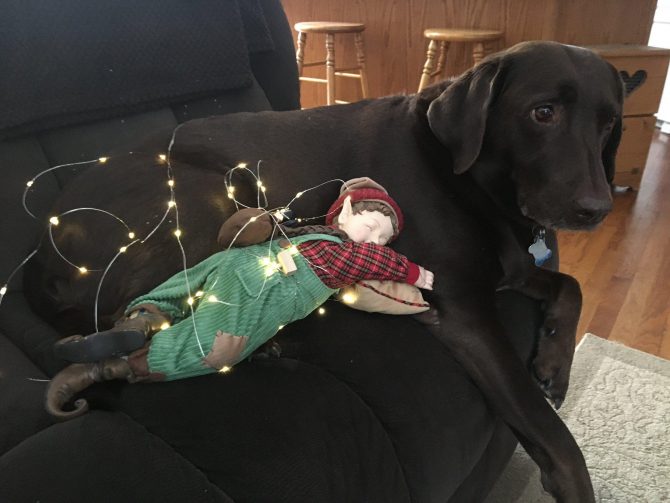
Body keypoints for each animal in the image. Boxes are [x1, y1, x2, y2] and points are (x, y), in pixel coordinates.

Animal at [36, 41, 624, 502]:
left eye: (609, 124)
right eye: (543, 112)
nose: (597, 209)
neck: (478, 183)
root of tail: (45, 247)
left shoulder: (511, 270)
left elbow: (569, 286)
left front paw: (554, 363)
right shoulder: (464, 309)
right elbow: (549, 429)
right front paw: (573, 480)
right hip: (208, 195)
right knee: (140, 314)